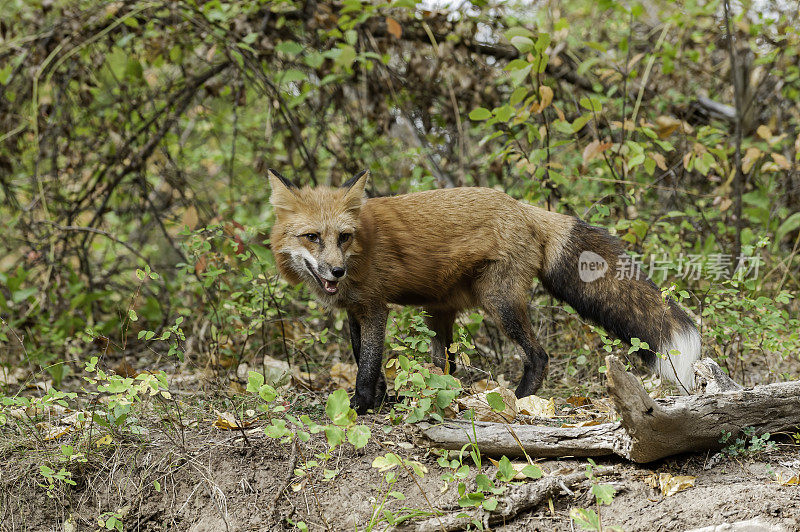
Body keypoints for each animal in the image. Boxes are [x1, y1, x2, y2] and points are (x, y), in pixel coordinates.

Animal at [268, 168, 700, 414]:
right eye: (311, 237)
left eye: (343, 236)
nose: (336, 271)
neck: (360, 251)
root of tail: (521, 206)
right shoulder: (355, 312)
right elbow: (365, 361)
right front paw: (378, 400)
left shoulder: (375, 308)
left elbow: (368, 367)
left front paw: (359, 407)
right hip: (438, 313)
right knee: (448, 368)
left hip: (499, 303)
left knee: (539, 355)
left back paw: (521, 401)